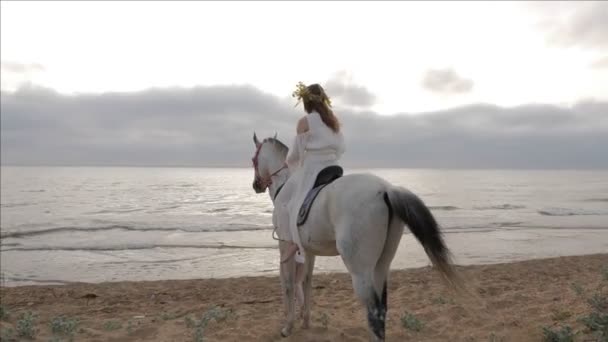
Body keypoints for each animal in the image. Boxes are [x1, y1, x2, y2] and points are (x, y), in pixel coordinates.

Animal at [251, 132, 456, 340]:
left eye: (254, 159)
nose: (256, 185)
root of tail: (385, 190)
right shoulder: (308, 251)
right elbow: (306, 282)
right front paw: (306, 320)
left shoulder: (285, 246)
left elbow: (288, 284)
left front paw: (288, 326)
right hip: (381, 266)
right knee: (382, 309)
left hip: (360, 272)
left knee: (375, 312)